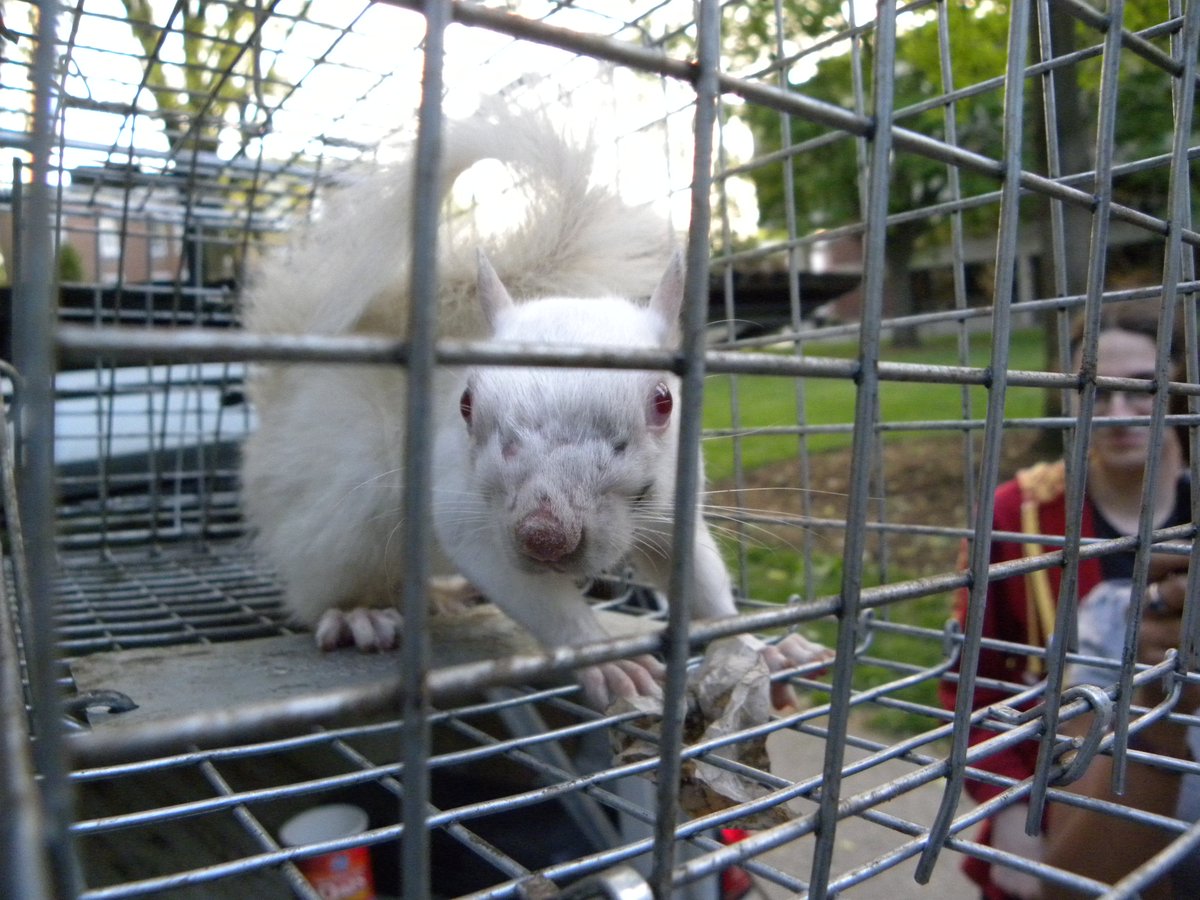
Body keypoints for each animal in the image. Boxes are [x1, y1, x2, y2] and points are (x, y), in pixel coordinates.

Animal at [241, 107, 825, 710]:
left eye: (663, 403)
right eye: (466, 403)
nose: (545, 536)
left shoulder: (674, 507)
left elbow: (703, 585)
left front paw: (760, 648)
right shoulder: (467, 515)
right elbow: (539, 599)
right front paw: (609, 662)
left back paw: (445, 595)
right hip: (342, 513)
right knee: (327, 584)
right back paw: (363, 614)